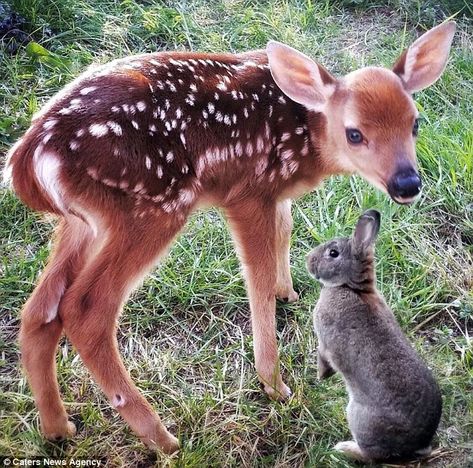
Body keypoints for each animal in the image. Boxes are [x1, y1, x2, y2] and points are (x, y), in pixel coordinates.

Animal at [308, 210, 440, 462]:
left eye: (333, 253)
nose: (308, 261)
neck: (350, 287)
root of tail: (417, 444)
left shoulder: (325, 340)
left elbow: (323, 356)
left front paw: (321, 376)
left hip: (359, 417)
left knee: (370, 456)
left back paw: (343, 448)